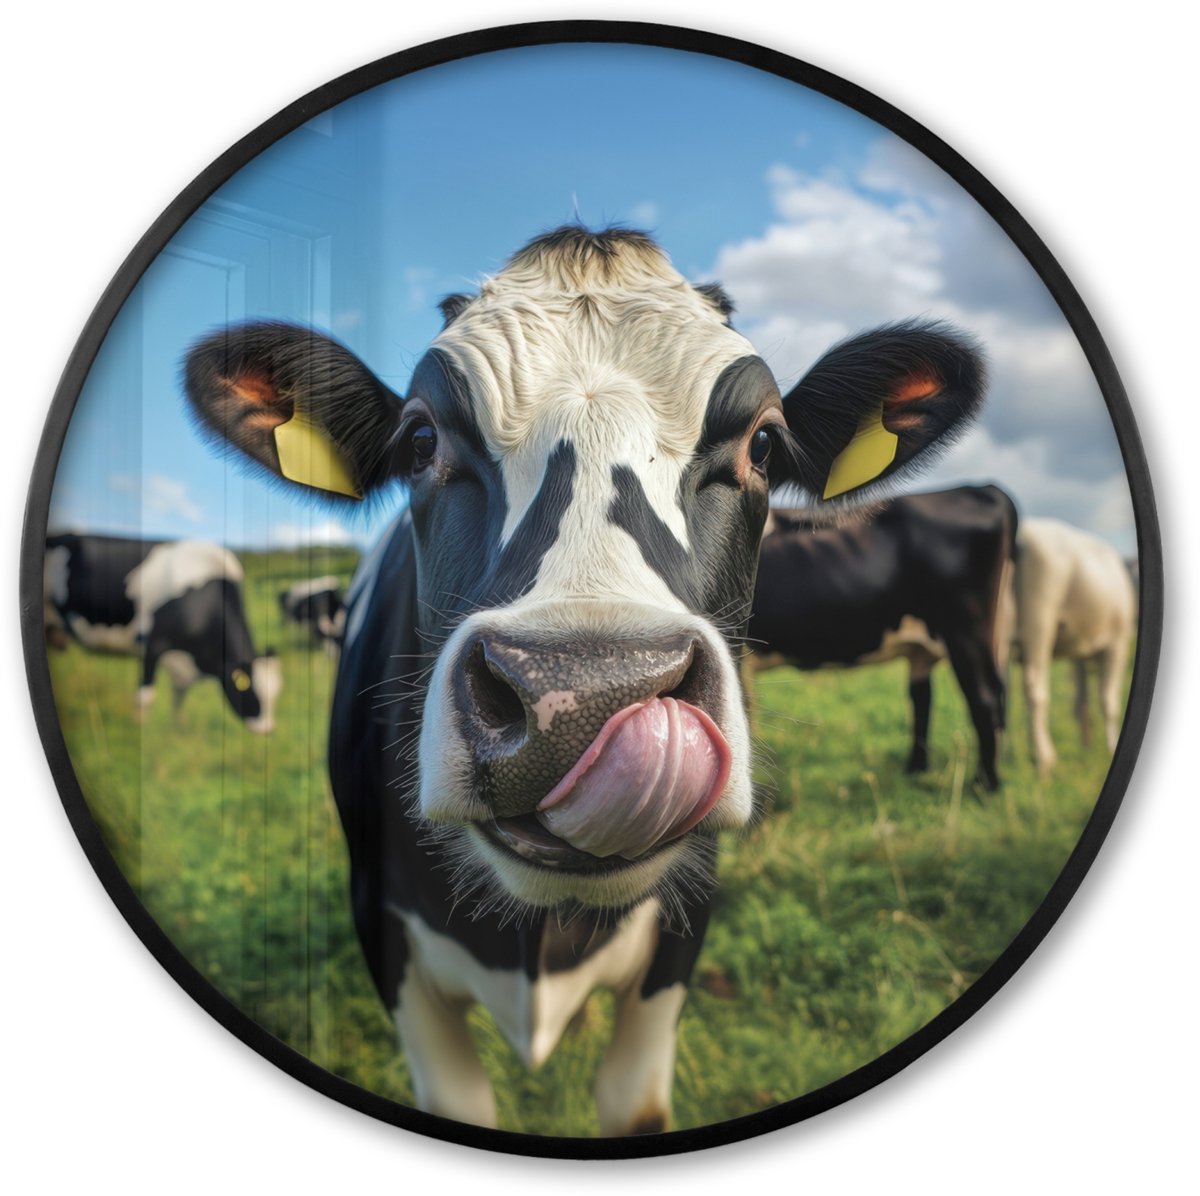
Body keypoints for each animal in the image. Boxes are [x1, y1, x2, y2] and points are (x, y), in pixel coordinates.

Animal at [43, 533, 282, 734]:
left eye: (276, 693)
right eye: (249, 691)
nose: (267, 730)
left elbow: (179, 697)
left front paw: (176, 730)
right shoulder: (153, 644)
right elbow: (145, 696)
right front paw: (140, 728)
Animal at [747, 485, 1017, 790]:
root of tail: (983, 488)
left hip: (965, 630)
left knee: (984, 698)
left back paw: (984, 785)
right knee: (926, 697)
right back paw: (917, 770)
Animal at [1013, 517, 1136, 775]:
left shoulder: (1080, 653)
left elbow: (1081, 702)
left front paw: (1087, 748)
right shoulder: (1117, 644)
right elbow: (1108, 701)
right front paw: (1110, 748)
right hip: (1037, 623)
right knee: (1035, 689)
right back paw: (1043, 759)